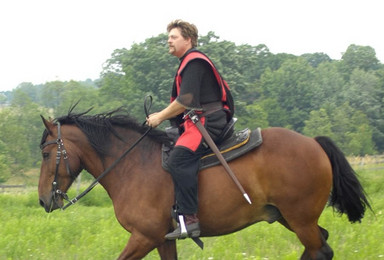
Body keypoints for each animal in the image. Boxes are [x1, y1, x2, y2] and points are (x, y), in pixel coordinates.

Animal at [37, 107, 370, 258]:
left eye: (45, 153)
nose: (43, 200)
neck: (132, 164)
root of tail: (313, 143)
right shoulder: (161, 239)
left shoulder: (143, 237)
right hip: (289, 217)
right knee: (321, 245)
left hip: (300, 220)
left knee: (319, 250)